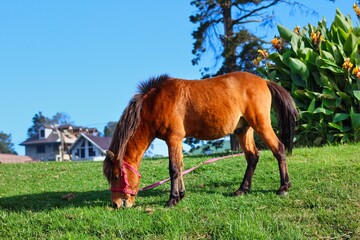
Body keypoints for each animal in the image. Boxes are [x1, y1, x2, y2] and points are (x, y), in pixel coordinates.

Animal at [103, 71, 298, 208]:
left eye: (116, 176)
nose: (117, 204)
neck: (155, 103)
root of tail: (264, 81)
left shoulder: (173, 139)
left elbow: (174, 169)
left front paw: (172, 199)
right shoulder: (177, 140)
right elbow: (181, 166)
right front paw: (181, 194)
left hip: (261, 124)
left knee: (278, 149)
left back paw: (284, 187)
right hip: (243, 130)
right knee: (252, 157)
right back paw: (242, 189)